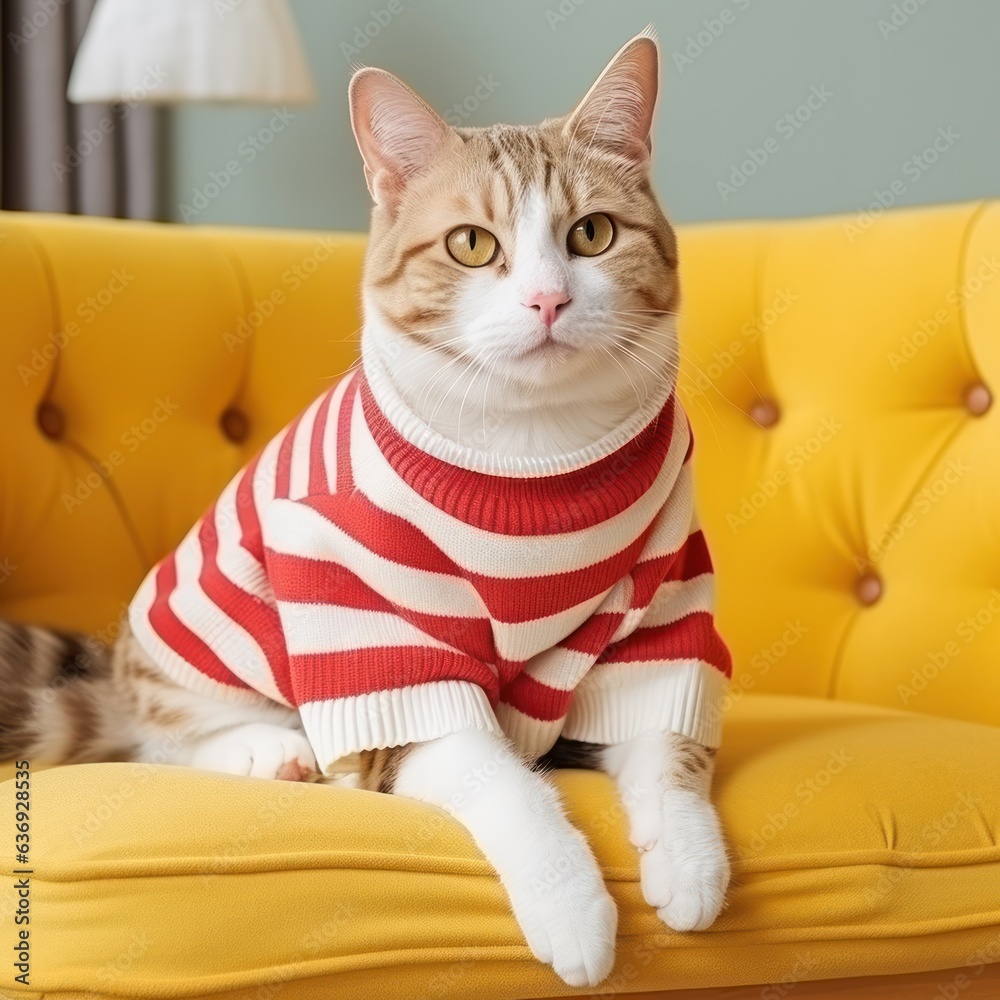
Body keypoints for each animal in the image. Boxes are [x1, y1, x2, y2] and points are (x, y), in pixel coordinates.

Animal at [1, 27, 736, 988]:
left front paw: (689, 859)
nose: (548, 299)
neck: (532, 450)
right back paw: (262, 748)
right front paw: (571, 905)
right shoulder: (373, 638)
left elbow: (664, 733)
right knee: (153, 730)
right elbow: (492, 776)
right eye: (472, 245)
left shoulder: (662, 591)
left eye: (593, 234)